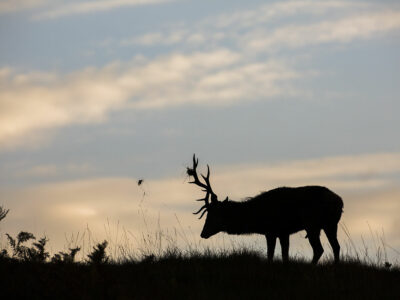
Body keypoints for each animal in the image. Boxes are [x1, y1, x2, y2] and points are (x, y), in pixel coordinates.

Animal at [188, 155, 344, 262]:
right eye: (207, 214)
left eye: (214, 214)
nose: (203, 233)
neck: (257, 218)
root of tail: (340, 202)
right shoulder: (283, 232)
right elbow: (284, 255)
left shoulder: (272, 230)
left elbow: (271, 256)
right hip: (330, 224)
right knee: (335, 246)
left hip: (312, 224)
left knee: (319, 249)